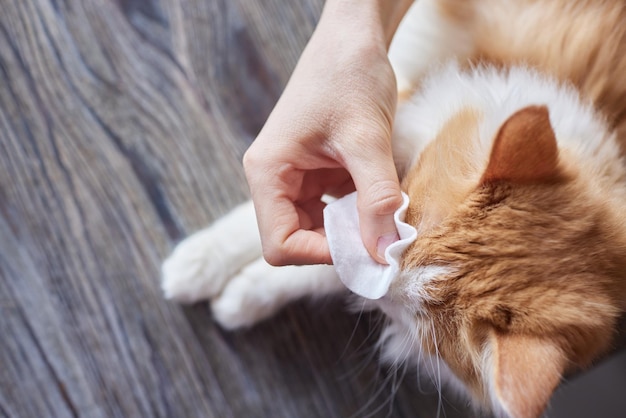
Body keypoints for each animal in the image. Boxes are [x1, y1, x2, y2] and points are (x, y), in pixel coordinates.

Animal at [161, 0, 624, 418]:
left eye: (402, 311)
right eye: (405, 222)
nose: (372, 277)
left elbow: (311, 269)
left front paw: (241, 298)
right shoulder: (397, 126)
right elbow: (260, 224)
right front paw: (198, 264)